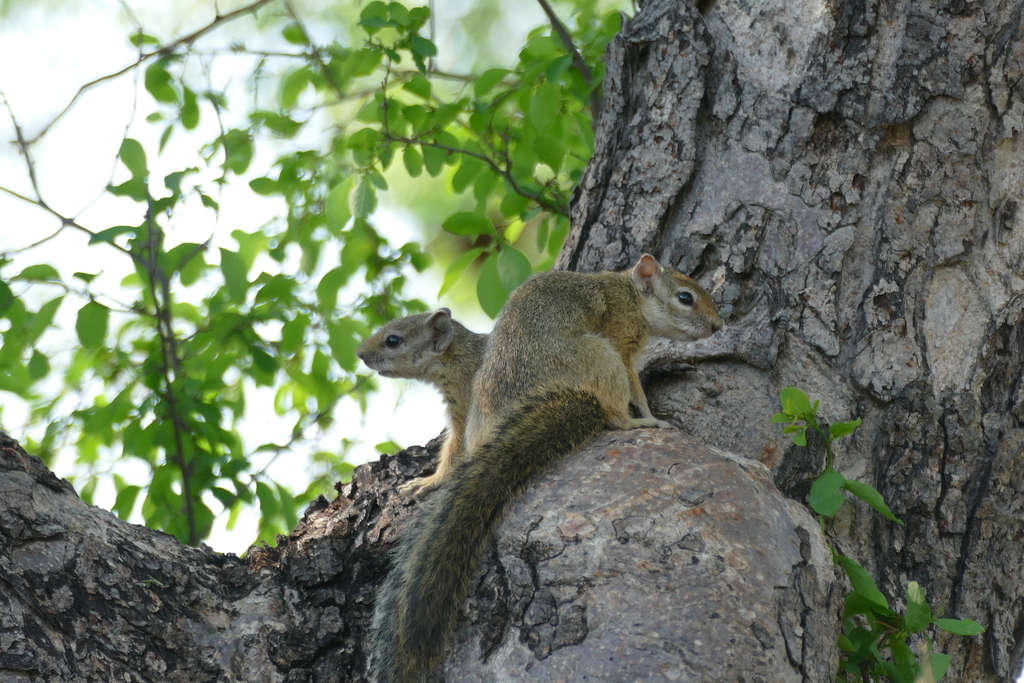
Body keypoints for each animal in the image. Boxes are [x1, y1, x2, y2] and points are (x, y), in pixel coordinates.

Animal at [358, 309, 489, 497]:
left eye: (392, 340)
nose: (359, 353)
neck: (455, 359)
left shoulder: (464, 395)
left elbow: (458, 446)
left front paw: (430, 481)